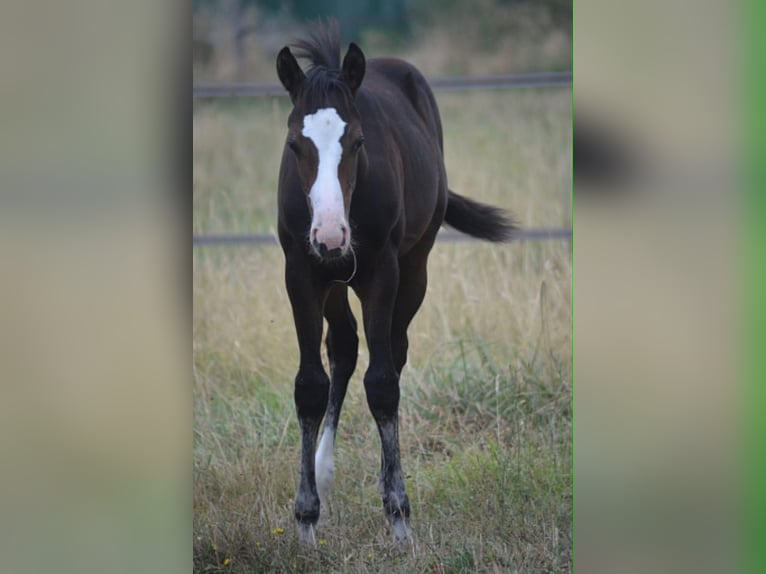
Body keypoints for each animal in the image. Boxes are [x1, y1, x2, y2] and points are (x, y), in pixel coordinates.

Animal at [275, 21, 516, 546]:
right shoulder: (301, 272)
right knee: (344, 347)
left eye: (358, 141)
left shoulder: (382, 271)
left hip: (413, 267)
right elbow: (309, 385)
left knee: (393, 353)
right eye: (294, 145)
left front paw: (399, 515)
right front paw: (305, 522)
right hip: (335, 280)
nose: (330, 235)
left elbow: (383, 383)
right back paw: (323, 474)